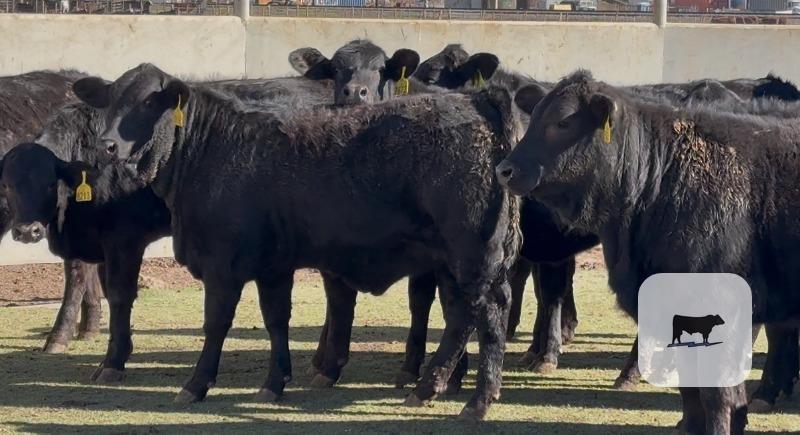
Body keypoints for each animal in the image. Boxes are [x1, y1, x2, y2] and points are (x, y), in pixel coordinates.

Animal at [0, 70, 103, 354]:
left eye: (50, 183)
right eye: (6, 185)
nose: (27, 231)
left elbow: (77, 273)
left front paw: (58, 337)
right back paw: (89, 328)